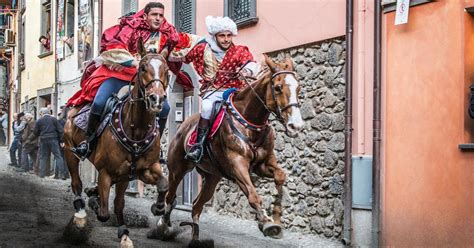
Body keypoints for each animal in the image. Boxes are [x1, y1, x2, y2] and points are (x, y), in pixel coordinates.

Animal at [63, 38, 170, 246]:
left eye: (167, 70)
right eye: (142, 67)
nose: (157, 99)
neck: (136, 129)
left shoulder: (140, 170)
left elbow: (163, 185)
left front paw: (157, 209)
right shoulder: (106, 172)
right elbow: (104, 213)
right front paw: (95, 203)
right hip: (70, 153)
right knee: (76, 184)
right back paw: (81, 215)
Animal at [155, 55, 304, 245]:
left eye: (298, 87)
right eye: (277, 88)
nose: (295, 125)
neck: (249, 122)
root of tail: (183, 126)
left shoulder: (263, 164)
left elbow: (280, 176)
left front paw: (276, 216)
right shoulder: (237, 165)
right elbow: (253, 195)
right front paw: (265, 222)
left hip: (212, 177)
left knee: (196, 206)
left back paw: (195, 238)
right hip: (177, 170)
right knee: (170, 197)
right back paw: (163, 226)